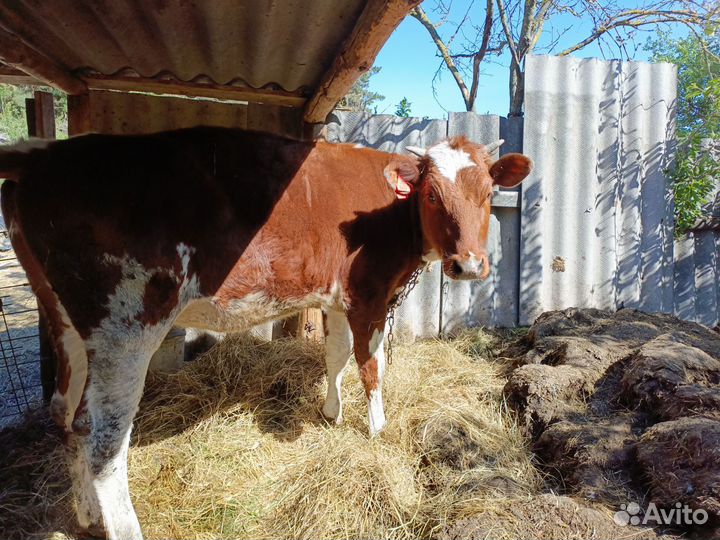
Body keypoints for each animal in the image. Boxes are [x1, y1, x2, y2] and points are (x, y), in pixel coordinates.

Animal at [0, 127, 531, 539]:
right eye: (431, 195)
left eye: (488, 194)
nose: (469, 265)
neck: (392, 215)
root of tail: (46, 153)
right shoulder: (370, 293)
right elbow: (370, 364)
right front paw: (378, 428)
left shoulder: (337, 297)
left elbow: (335, 355)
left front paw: (331, 413)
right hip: (126, 322)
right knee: (103, 441)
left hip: (64, 320)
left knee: (66, 413)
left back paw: (87, 517)